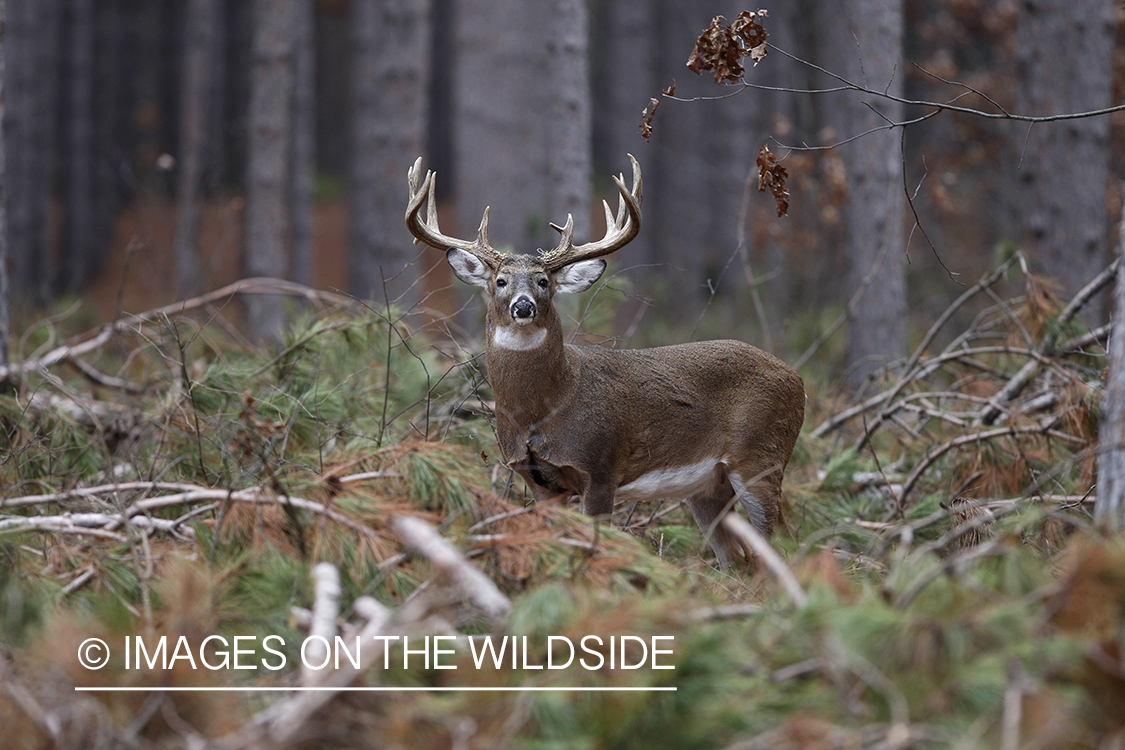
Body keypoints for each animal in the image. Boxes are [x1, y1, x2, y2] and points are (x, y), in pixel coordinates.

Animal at [409, 155, 805, 566]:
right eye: (500, 281)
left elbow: (595, 544)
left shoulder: (600, 467)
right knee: (736, 558)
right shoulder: (537, 480)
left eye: (543, 282)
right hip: (708, 485)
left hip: (762, 455)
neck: (546, 406)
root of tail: (798, 379)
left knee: (784, 540)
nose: (523, 306)